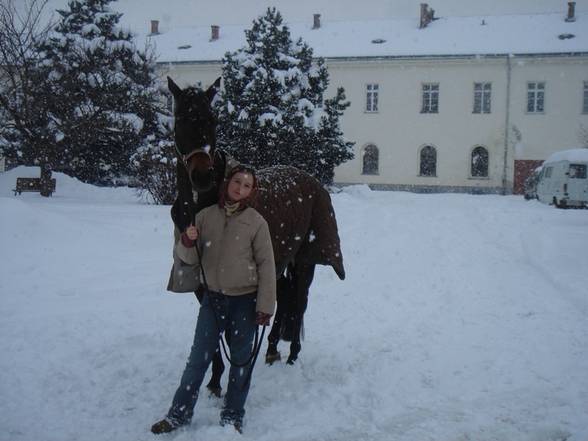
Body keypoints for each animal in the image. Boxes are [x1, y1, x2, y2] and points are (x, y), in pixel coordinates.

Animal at [167, 75, 344, 392]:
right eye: (181, 119)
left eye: (212, 119)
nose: (202, 176)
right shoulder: (201, 281)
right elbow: (212, 332)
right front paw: (214, 379)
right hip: (281, 260)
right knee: (284, 297)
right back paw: (272, 348)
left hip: (305, 259)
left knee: (299, 301)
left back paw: (292, 355)